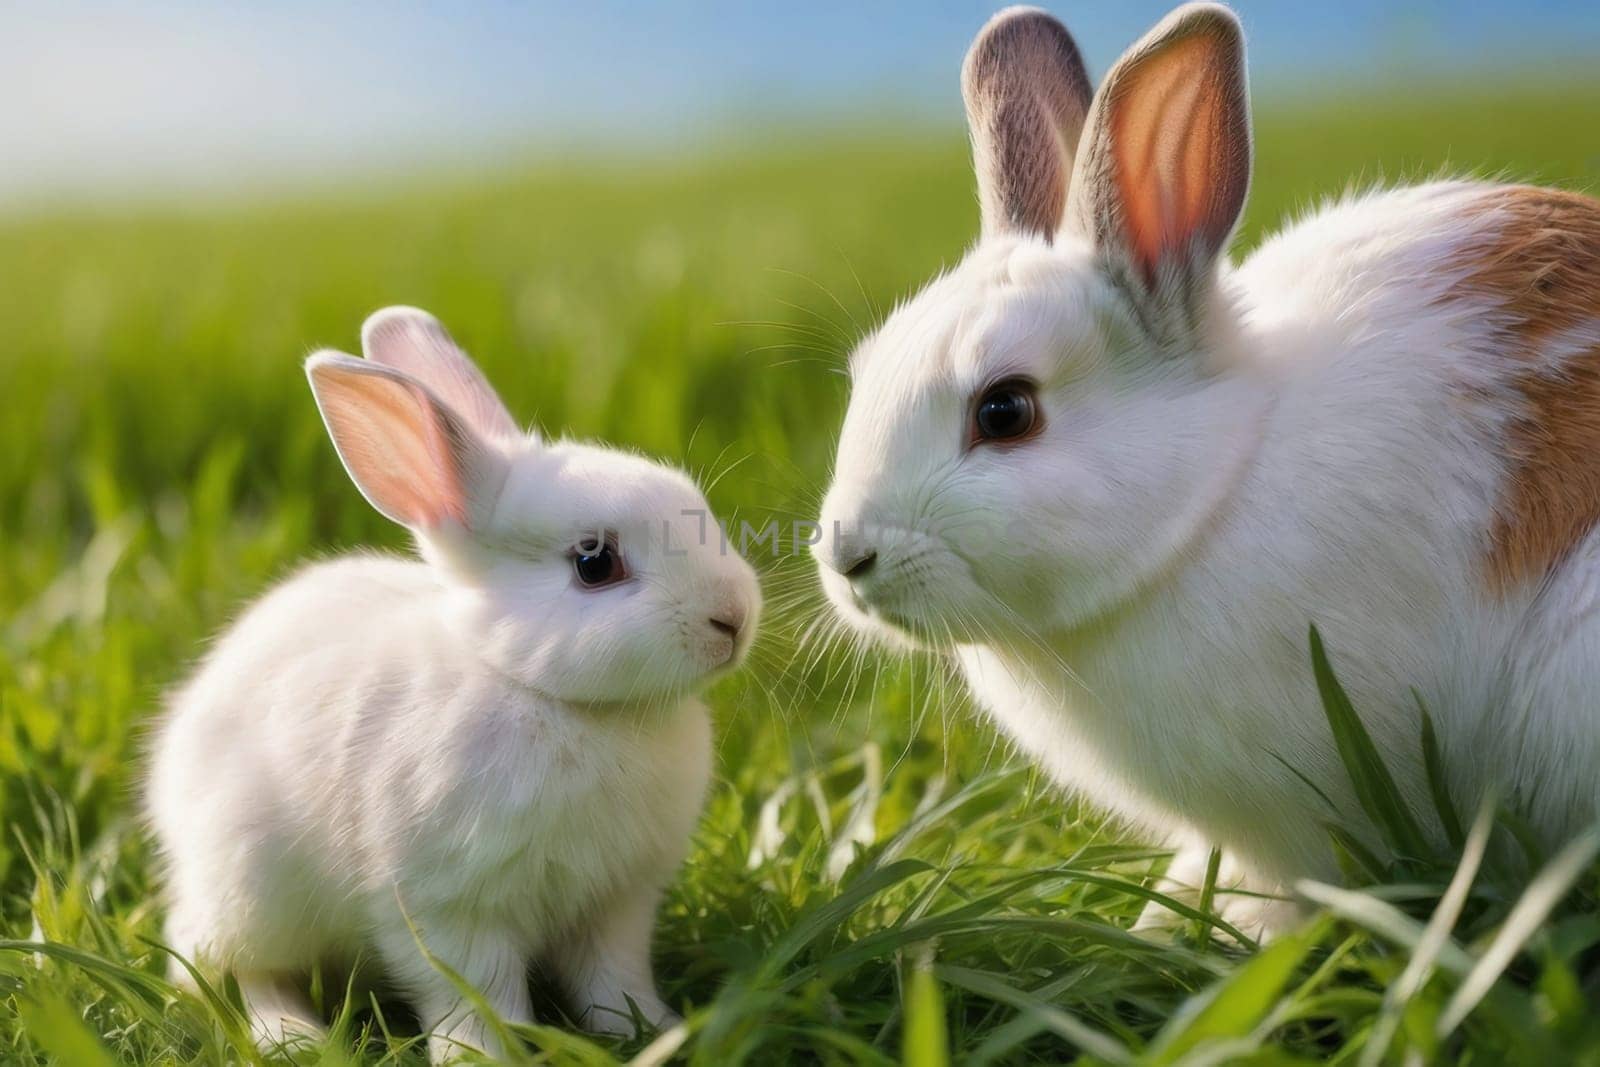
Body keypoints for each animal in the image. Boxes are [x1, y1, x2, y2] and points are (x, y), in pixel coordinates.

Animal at [145, 307, 761, 1062]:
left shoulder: (615, 903)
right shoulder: (449, 905)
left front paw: (652, 1029)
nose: (733, 616)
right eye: (595, 564)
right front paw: (484, 1055)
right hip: (251, 889)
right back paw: (292, 1036)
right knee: (234, 969)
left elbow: (611, 978)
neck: (550, 697)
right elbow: (474, 994)